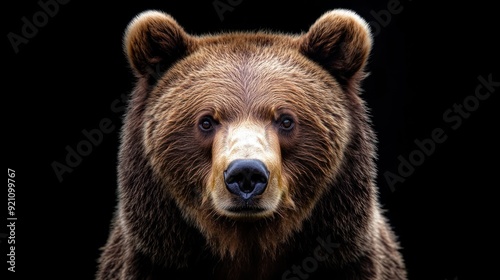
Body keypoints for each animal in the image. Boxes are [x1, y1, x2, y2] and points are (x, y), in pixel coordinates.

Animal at [96, 8, 406, 280]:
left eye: (286, 120)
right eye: (206, 121)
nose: (246, 173)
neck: (247, 244)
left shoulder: (348, 259)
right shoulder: (154, 260)